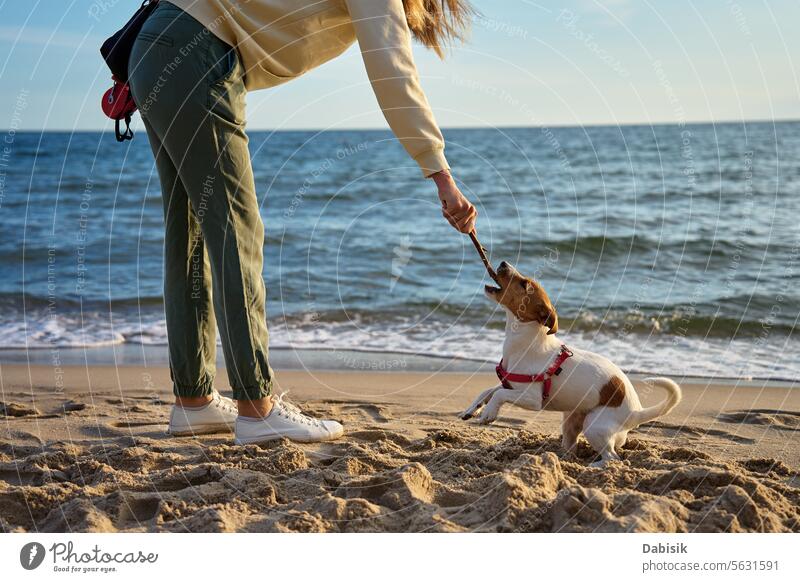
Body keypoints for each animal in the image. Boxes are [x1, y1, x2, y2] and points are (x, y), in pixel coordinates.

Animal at [462, 262, 680, 468]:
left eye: (524, 284)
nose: (503, 263)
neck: (526, 341)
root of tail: (636, 412)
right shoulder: (510, 383)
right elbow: (488, 391)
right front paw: (473, 408)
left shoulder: (532, 399)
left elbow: (499, 394)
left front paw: (489, 413)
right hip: (571, 422)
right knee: (572, 448)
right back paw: (560, 459)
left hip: (594, 426)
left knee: (613, 458)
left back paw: (593, 465)